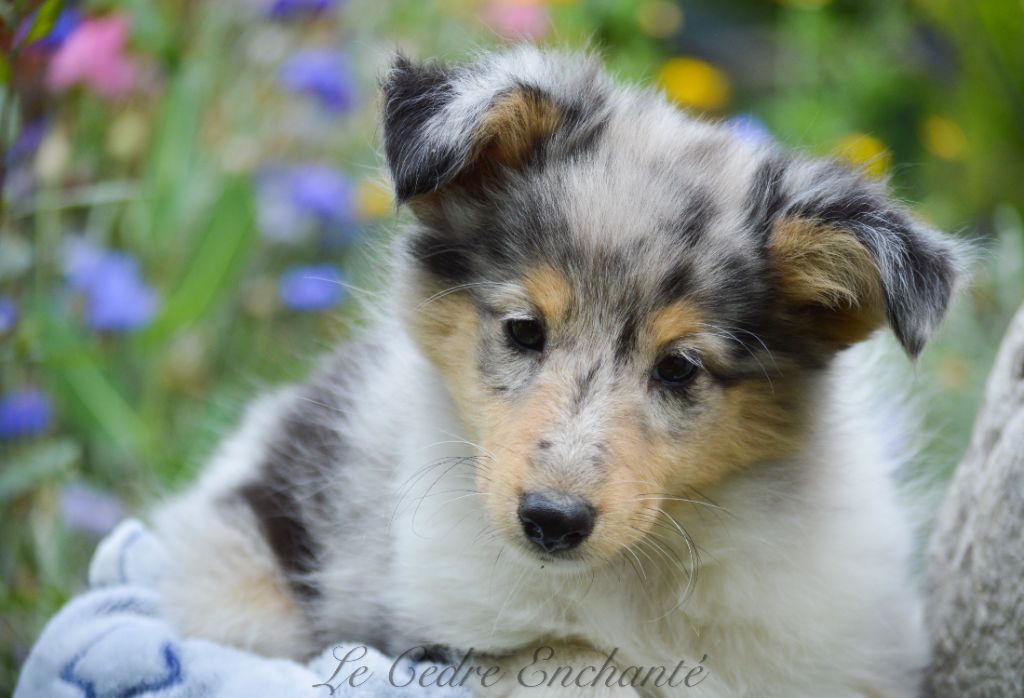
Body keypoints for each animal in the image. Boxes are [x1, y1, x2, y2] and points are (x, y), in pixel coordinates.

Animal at [151, 47, 964, 697]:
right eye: (523, 330)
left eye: (679, 368)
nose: (552, 521)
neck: (642, 570)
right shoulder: (449, 628)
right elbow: (577, 663)